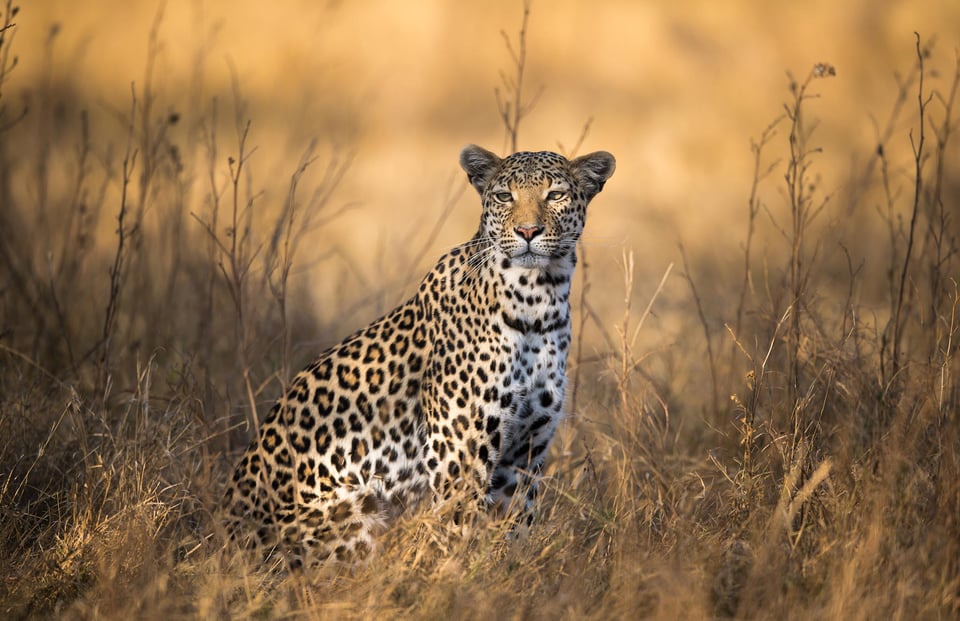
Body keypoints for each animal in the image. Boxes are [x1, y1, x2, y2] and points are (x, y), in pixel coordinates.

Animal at [220, 142, 616, 568]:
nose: (528, 232)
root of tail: (222, 538)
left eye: (555, 195)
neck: (540, 302)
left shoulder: (526, 451)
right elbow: (458, 531)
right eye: (504, 196)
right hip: (355, 510)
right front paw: (459, 577)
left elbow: (515, 529)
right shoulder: (459, 454)